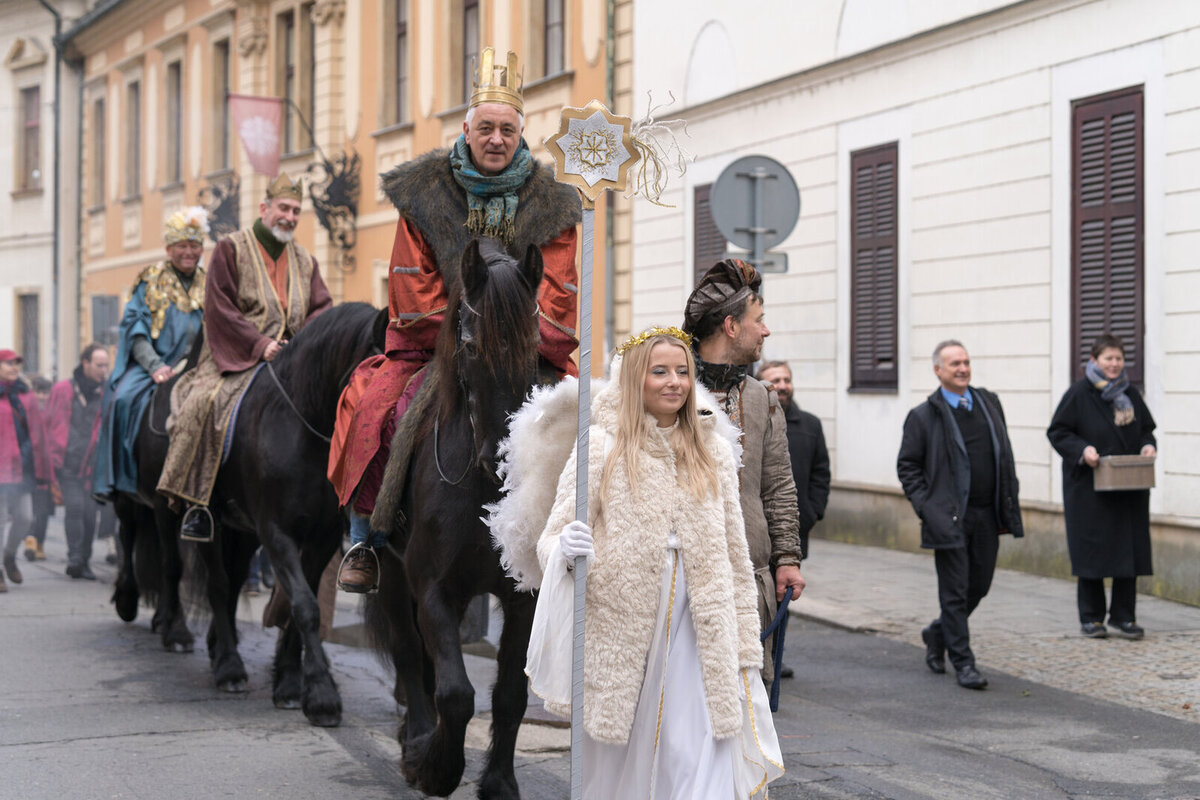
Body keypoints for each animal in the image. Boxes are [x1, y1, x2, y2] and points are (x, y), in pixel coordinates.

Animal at [184, 299, 386, 724]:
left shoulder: (322, 538)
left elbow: (302, 605)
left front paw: (293, 683)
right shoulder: (277, 535)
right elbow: (305, 606)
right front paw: (322, 695)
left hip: (241, 532)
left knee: (232, 581)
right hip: (211, 523)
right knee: (219, 585)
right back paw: (229, 666)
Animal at [364, 241, 552, 796]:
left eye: (533, 346)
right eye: (470, 347)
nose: (501, 456)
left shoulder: (522, 598)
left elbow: (510, 695)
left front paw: (499, 782)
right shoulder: (432, 588)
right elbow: (455, 693)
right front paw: (435, 765)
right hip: (390, 572)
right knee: (409, 654)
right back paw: (417, 737)